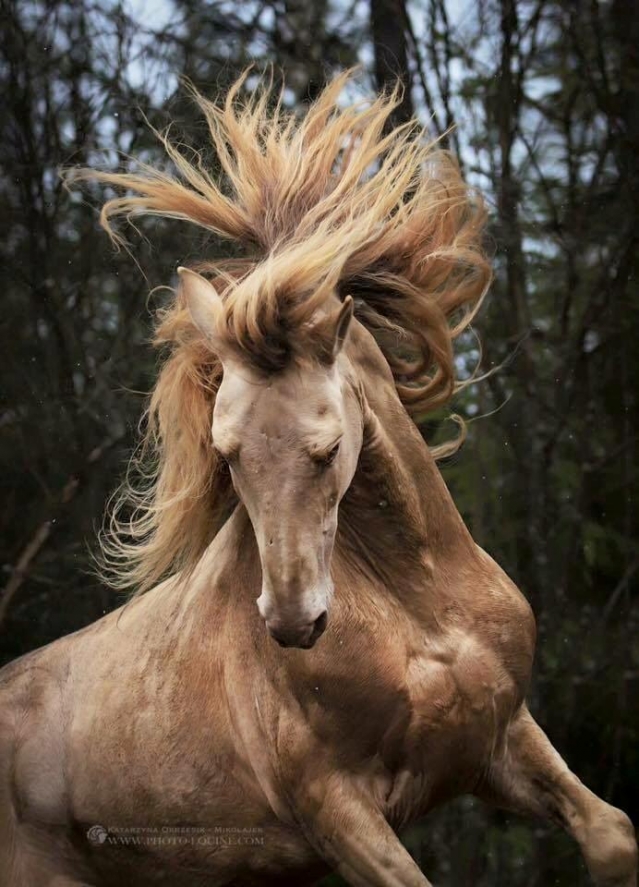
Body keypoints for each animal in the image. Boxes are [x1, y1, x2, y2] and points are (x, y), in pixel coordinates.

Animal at [0, 70, 636, 887]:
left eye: (329, 448)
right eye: (227, 453)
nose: (293, 623)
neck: (417, 613)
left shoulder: (498, 739)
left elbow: (612, 833)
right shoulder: (335, 810)